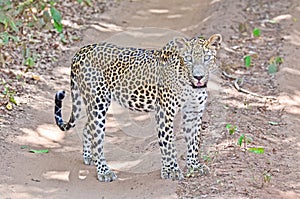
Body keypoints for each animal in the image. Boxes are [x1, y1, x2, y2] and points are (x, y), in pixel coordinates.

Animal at [54, 33, 223, 182]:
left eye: (207, 58)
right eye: (188, 59)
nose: (198, 76)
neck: (191, 86)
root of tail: (82, 50)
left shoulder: (193, 112)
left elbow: (194, 141)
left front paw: (194, 166)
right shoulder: (164, 112)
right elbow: (168, 143)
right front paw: (171, 171)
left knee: (86, 127)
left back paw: (89, 157)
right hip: (98, 103)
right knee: (97, 137)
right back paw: (104, 171)